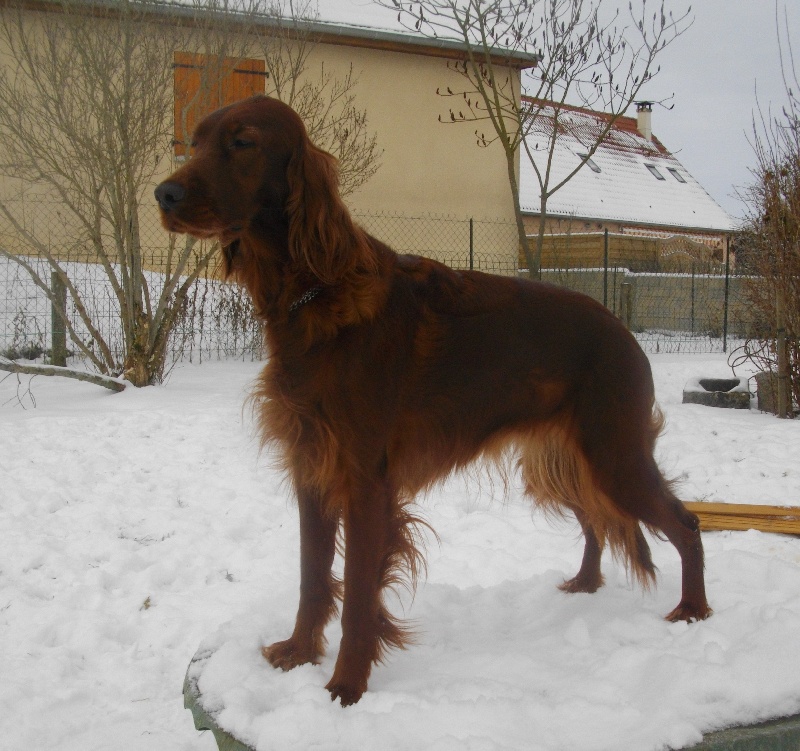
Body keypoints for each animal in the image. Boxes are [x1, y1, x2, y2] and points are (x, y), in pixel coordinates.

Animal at [155, 94, 708, 704]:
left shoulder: (364, 479)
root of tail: (622, 329)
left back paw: (693, 610)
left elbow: (358, 596)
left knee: (686, 524)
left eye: (243, 141)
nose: (164, 194)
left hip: (614, 455)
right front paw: (298, 654)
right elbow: (312, 576)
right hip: (564, 460)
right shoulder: (313, 467)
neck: (314, 290)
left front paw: (345, 688)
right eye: (195, 140)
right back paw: (585, 584)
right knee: (595, 521)